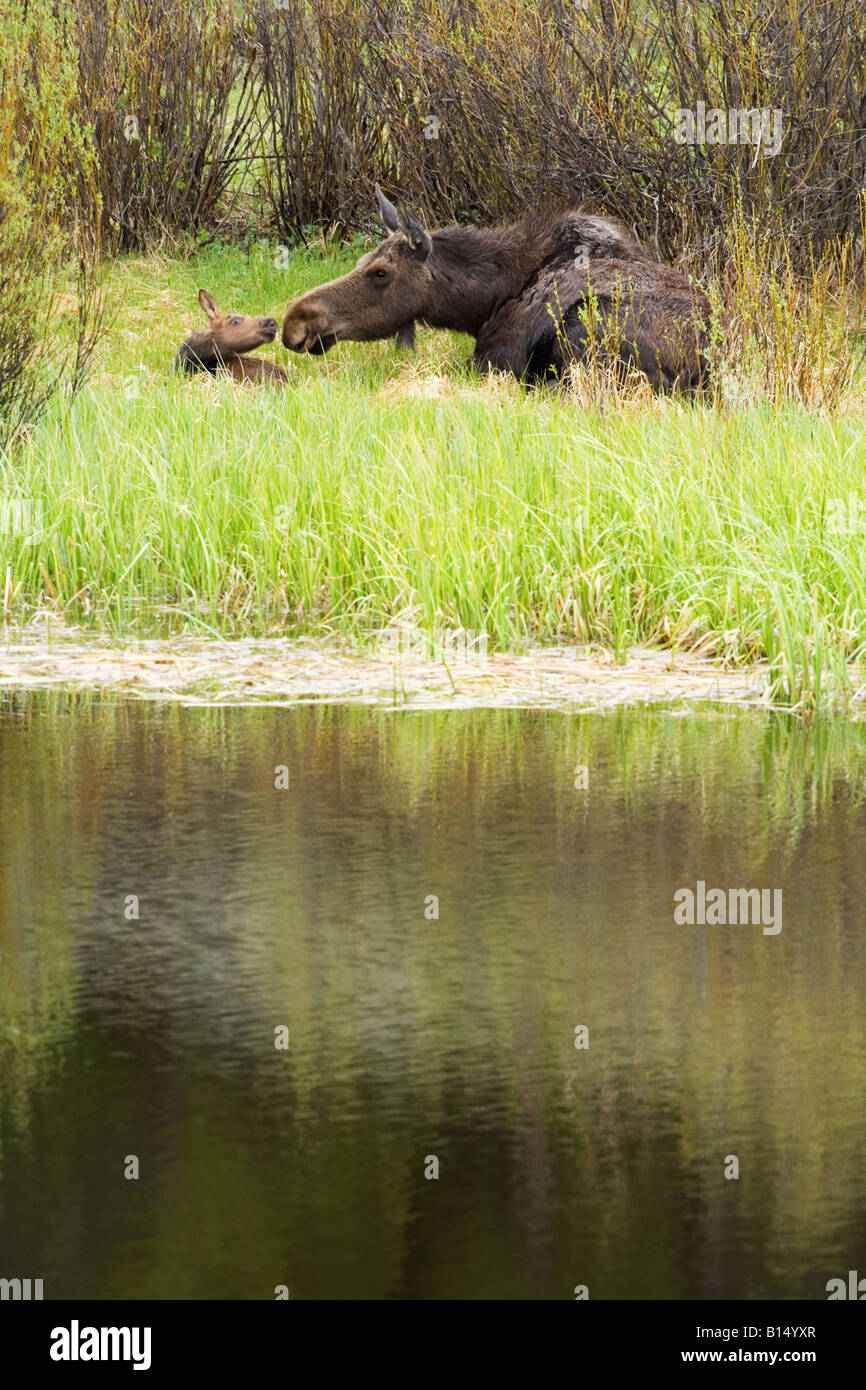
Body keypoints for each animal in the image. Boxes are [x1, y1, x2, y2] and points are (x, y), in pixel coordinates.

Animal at [283, 187, 711, 389]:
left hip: (585, 324)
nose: (295, 322)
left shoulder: (493, 357)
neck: (484, 302)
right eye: (361, 261)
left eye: (381, 273)